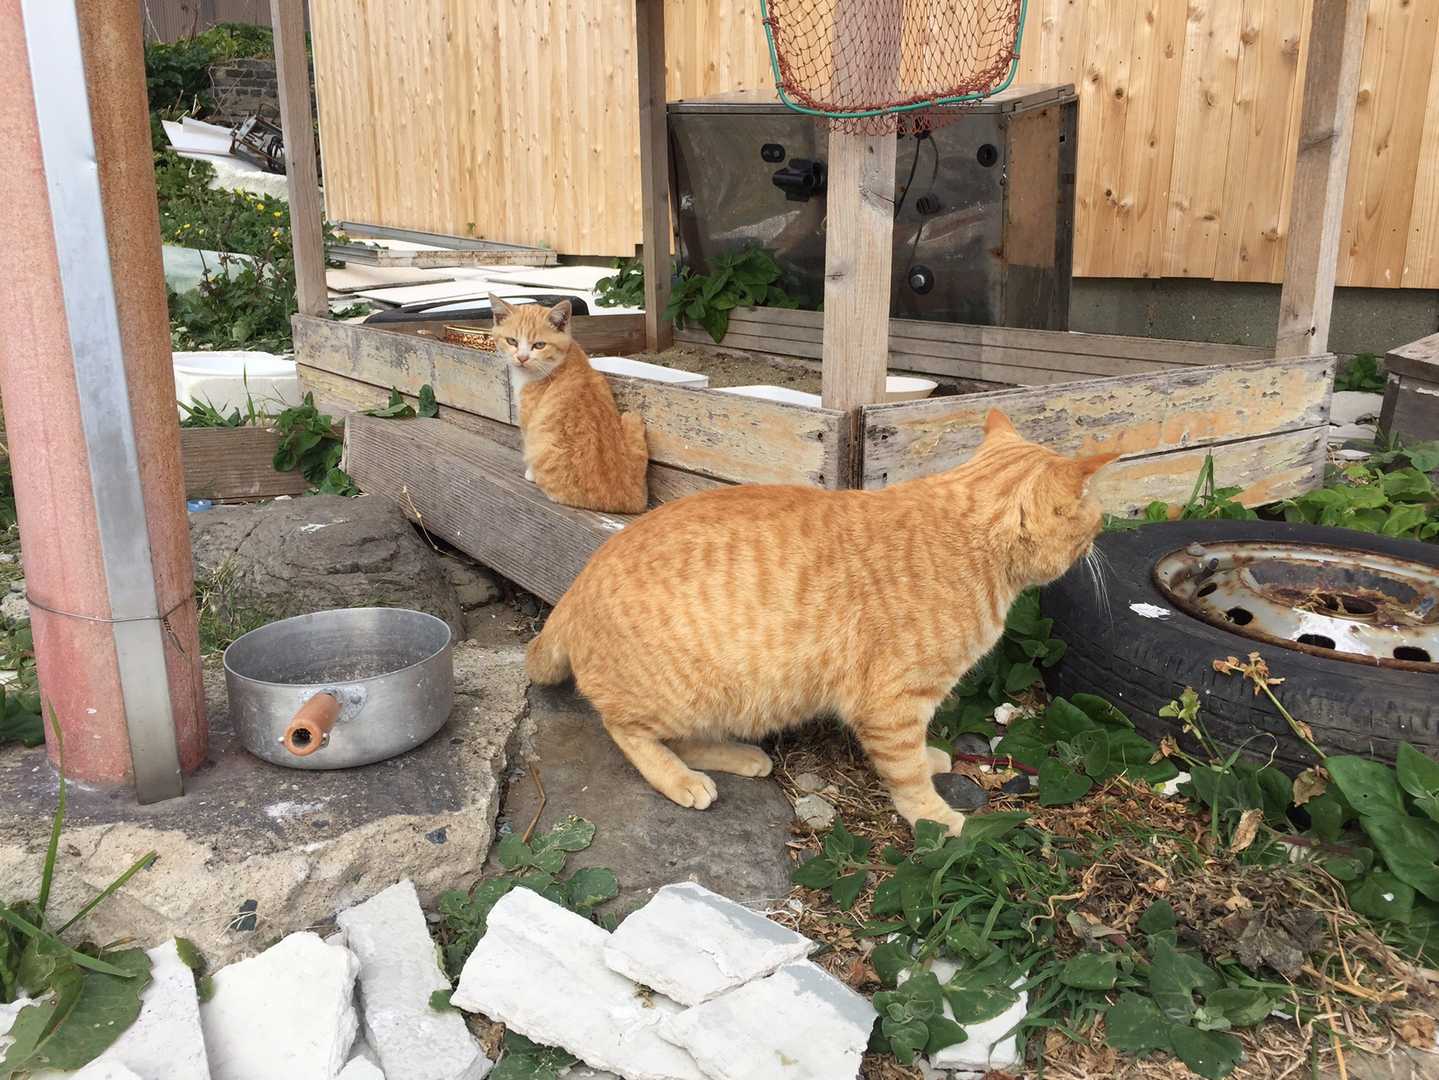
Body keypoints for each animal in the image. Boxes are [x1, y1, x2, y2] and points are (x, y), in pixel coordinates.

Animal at [489, 295, 649, 514]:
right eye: (512, 341)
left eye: (539, 345)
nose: (521, 358)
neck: (560, 362)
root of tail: (630, 500)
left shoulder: (528, 419)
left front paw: (530, 473)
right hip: (632, 417)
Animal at [526, 408, 1118, 836]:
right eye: (1092, 516)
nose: (1103, 531)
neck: (968, 539)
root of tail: (580, 579)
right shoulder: (892, 706)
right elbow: (905, 771)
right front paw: (933, 816)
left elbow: (915, 756)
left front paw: (933, 764)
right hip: (681, 694)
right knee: (626, 730)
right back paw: (680, 779)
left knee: (682, 737)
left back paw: (740, 758)